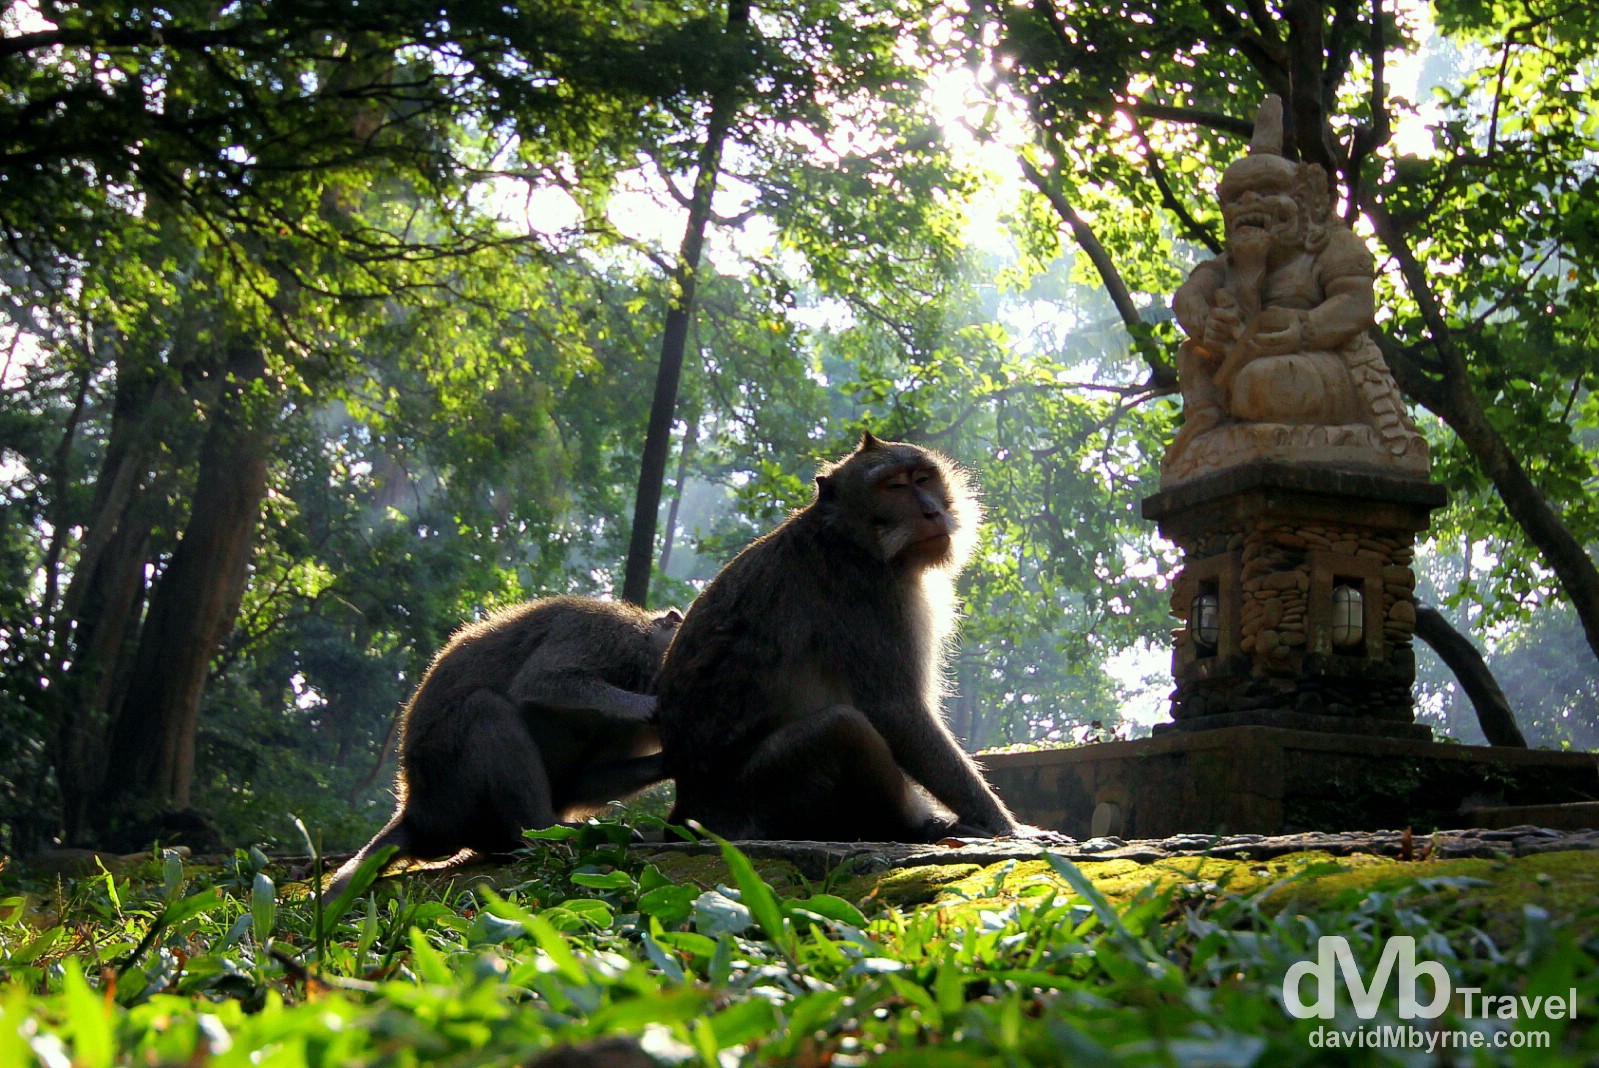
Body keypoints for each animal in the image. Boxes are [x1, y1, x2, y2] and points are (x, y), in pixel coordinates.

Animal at [321, 597, 677, 895]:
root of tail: (416, 814)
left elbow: (577, 783)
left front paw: (669, 762)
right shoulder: (608, 634)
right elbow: (541, 682)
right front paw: (645, 706)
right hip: (450, 790)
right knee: (486, 709)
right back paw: (544, 830)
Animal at [655, 434, 1029, 844]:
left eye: (923, 479)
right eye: (894, 488)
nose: (931, 512)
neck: (853, 539)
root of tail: (685, 809)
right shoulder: (866, 592)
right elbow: (895, 710)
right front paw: (1007, 827)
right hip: (752, 801)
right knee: (841, 728)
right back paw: (914, 827)